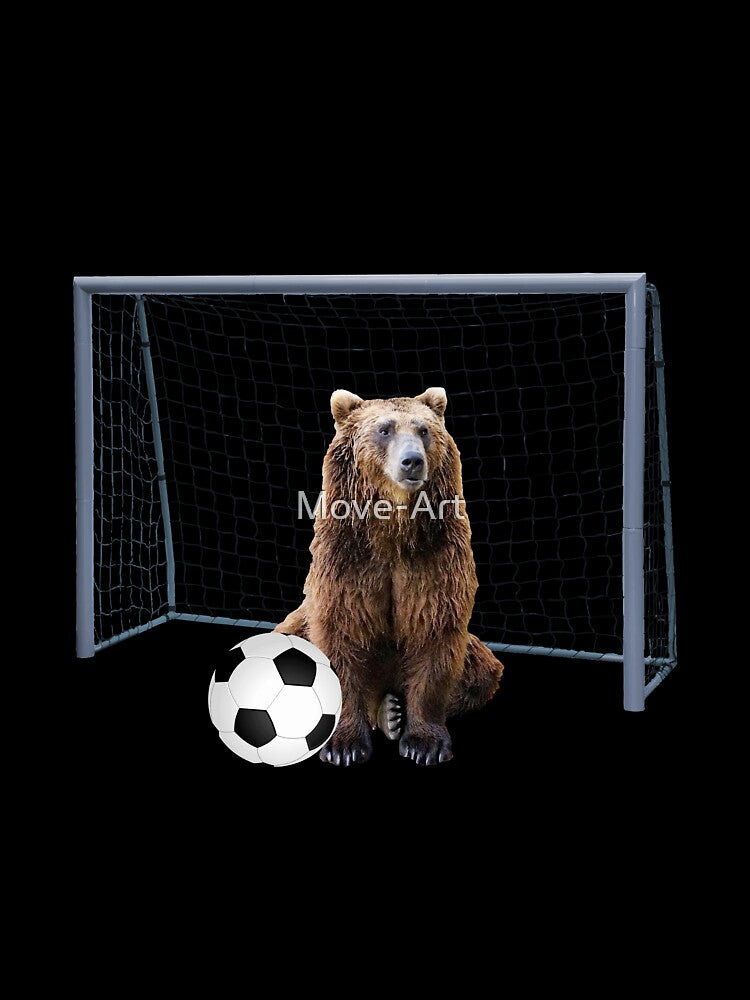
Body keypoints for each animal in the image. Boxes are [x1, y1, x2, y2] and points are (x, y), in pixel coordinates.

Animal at [275, 387, 503, 765]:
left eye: (423, 430)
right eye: (384, 429)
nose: (412, 461)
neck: (392, 528)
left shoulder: (435, 556)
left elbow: (434, 633)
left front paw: (424, 744)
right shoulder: (347, 557)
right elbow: (342, 632)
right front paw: (344, 746)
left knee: (481, 674)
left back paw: (392, 713)